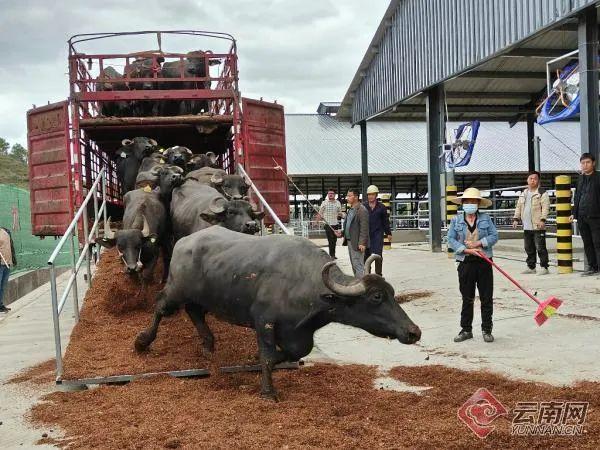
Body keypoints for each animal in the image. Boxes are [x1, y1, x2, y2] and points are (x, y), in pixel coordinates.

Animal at [135, 227, 422, 400]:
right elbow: (267, 356)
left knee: (195, 313)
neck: (304, 282)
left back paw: (208, 345)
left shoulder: (298, 333)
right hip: (175, 289)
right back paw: (142, 341)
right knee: (160, 307)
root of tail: (185, 242)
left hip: (197, 297)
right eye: (376, 297)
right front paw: (267, 391)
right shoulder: (264, 322)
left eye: (392, 292)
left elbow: (293, 353)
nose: (413, 332)